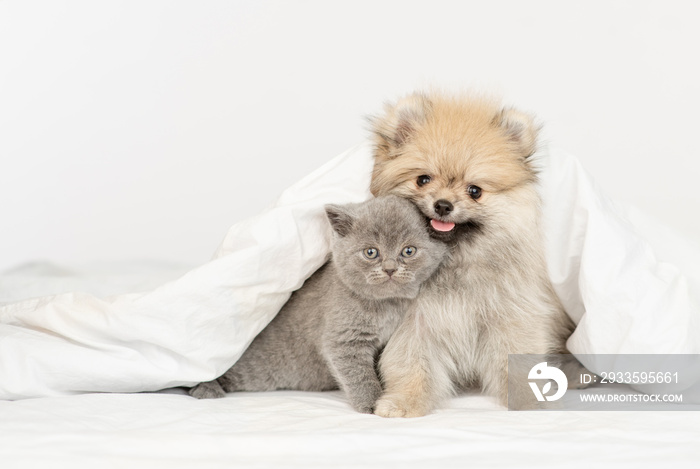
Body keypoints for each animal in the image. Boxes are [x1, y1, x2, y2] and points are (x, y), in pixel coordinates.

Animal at [187, 196, 448, 412]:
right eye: (371, 252)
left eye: (408, 251)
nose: (390, 269)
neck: (386, 305)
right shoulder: (343, 339)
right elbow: (358, 374)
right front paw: (372, 403)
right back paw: (206, 389)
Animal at [370, 89, 576, 414]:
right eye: (423, 179)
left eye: (475, 191)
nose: (443, 204)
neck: (452, 261)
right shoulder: (414, 324)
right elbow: (410, 364)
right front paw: (405, 401)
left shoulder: (511, 316)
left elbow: (518, 362)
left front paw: (530, 400)